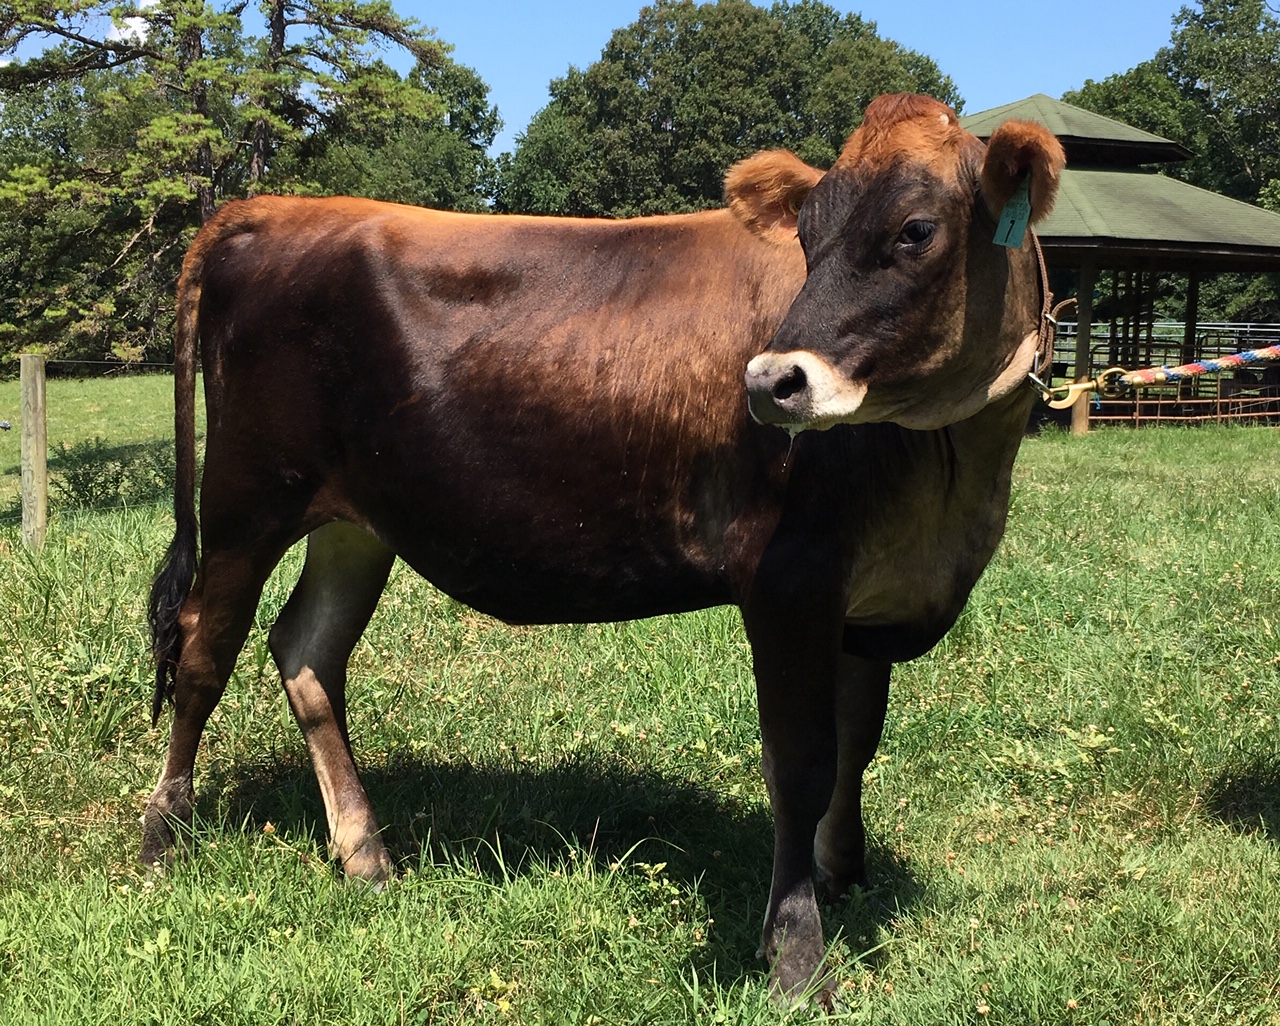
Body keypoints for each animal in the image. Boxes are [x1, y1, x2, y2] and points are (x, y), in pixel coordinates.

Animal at [143, 93, 1064, 999]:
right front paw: (798, 958)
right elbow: (801, 765)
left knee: (307, 650)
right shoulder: (789, 580)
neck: (952, 481)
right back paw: (163, 836)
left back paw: (366, 855)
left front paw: (843, 878)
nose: (771, 382)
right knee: (203, 651)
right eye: (808, 235)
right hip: (246, 499)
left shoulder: (870, 605)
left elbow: (857, 748)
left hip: (354, 522)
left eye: (917, 230)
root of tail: (277, 207)